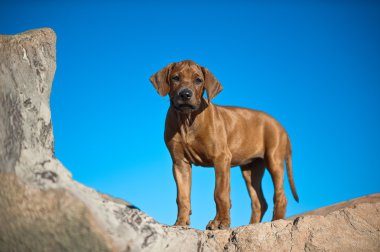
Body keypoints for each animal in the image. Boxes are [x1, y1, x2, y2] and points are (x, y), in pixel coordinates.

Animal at [150, 60, 298, 229]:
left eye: (198, 80)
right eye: (175, 78)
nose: (185, 94)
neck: (187, 120)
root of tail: (281, 126)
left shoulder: (221, 158)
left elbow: (220, 193)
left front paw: (220, 222)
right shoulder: (180, 163)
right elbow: (182, 196)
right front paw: (180, 222)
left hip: (274, 159)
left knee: (280, 195)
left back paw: (276, 222)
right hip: (250, 169)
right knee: (259, 202)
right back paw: (252, 225)